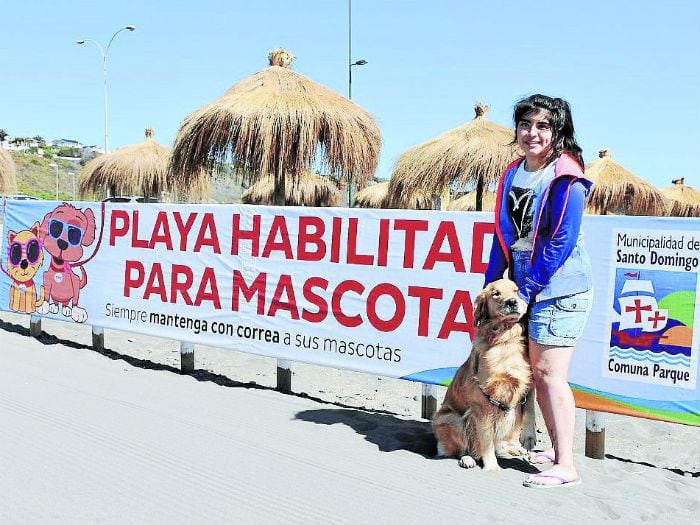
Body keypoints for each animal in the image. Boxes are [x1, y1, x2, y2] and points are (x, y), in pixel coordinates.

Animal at [432, 278, 536, 470]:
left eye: (516, 291)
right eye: (496, 293)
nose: (512, 302)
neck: (505, 339)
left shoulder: (527, 383)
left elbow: (530, 410)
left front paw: (528, 437)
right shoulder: (483, 402)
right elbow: (486, 441)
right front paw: (492, 467)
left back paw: (512, 448)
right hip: (451, 419)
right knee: (463, 447)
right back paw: (468, 458)